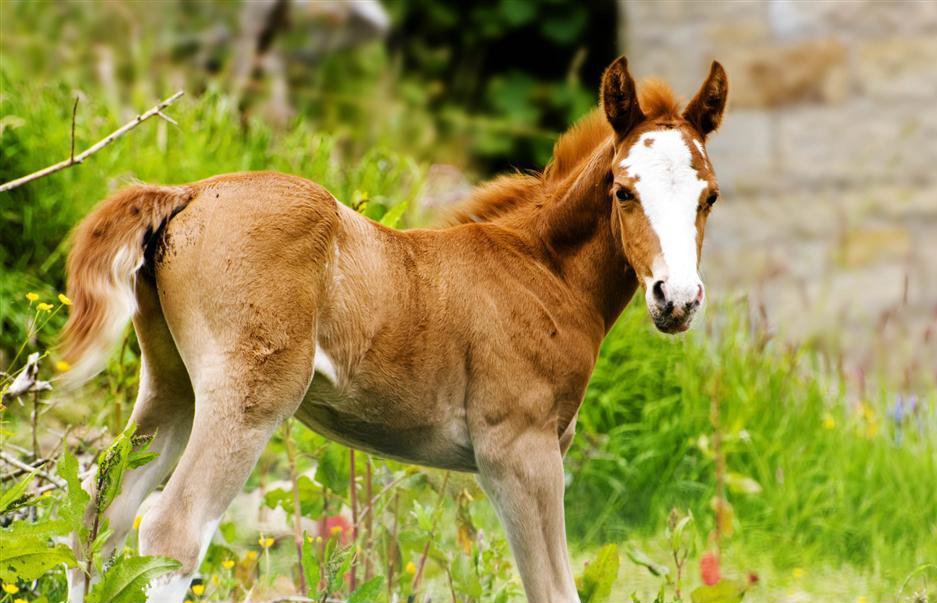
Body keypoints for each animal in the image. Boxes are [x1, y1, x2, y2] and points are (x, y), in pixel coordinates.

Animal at [59, 55, 727, 603]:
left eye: (710, 197)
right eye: (623, 190)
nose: (677, 300)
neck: (541, 269)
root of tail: (190, 192)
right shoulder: (519, 451)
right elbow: (553, 590)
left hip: (171, 384)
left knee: (99, 519)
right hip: (249, 396)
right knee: (171, 531)